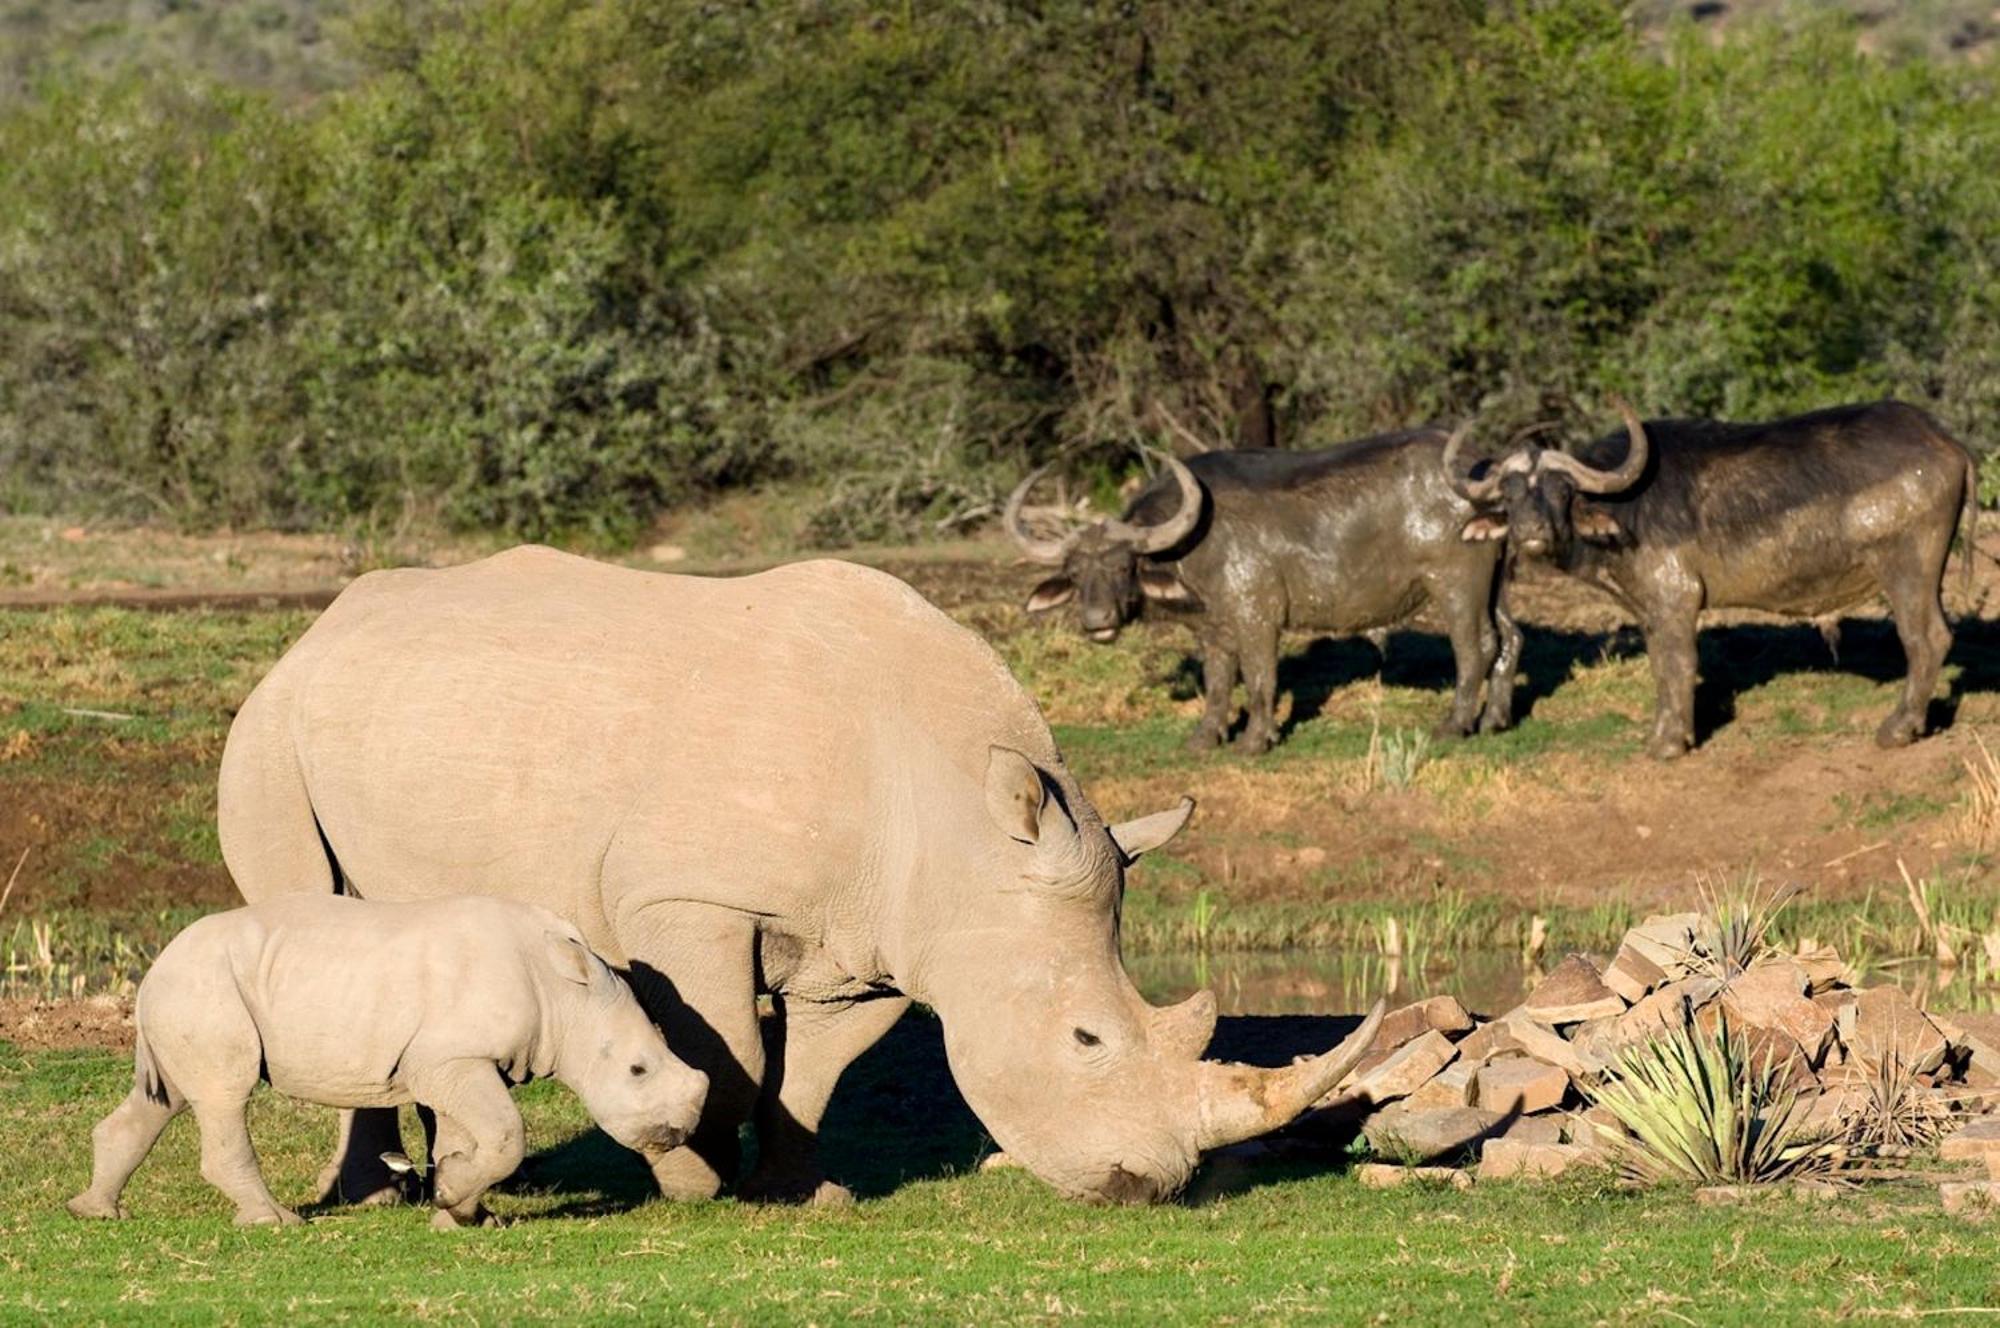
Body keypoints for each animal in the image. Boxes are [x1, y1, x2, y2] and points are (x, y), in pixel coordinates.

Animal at [1008, 430, 1520, 752]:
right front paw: (1204, 739)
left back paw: (1454, 725)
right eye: (1075, 573)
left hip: (1456, 587)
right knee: (1510, 638)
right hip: (1495, 586)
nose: (1097, 621)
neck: (1197, 543)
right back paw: (1494, 721)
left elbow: (1259, 681)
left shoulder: (1258, 619)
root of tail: (1482, 475)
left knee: (1475, 646)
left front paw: (1255, 742)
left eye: (1121, 566)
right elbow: (1217, 685)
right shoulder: (1212, 632)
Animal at [1448, 396, 1976, 756]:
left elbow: (1679, 665)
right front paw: (1662, 733)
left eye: (1561, 490)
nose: (1530, 532)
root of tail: (1945, 442)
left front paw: (1670, 744)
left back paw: (1898, 727)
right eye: (1511, 494)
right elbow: (1660, 667)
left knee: (1926, 638)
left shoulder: (1677, 599)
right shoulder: (1650, 610)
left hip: (1905, 571)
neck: (1626, 508)